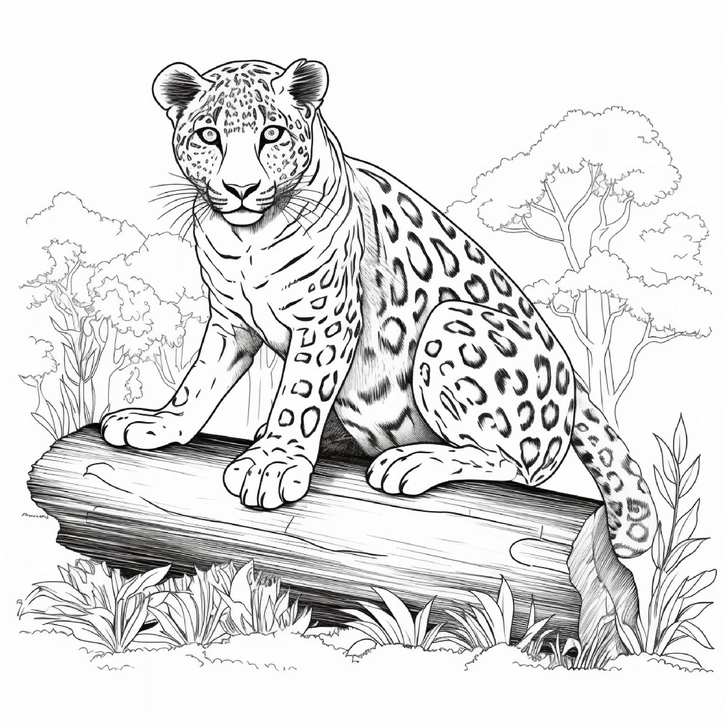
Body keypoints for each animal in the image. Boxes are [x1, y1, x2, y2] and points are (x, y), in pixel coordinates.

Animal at [101, 58, 656, 558]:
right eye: (209, 135)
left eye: (272, 135)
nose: (241, 189)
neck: (246, 240)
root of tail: (575, 387)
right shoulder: (230, 319)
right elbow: (199, 381)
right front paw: (160, 423)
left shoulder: (327, 320)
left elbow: (299, 396)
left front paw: (274, 464)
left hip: (452, 324)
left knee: (513, 462)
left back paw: (412, 463)